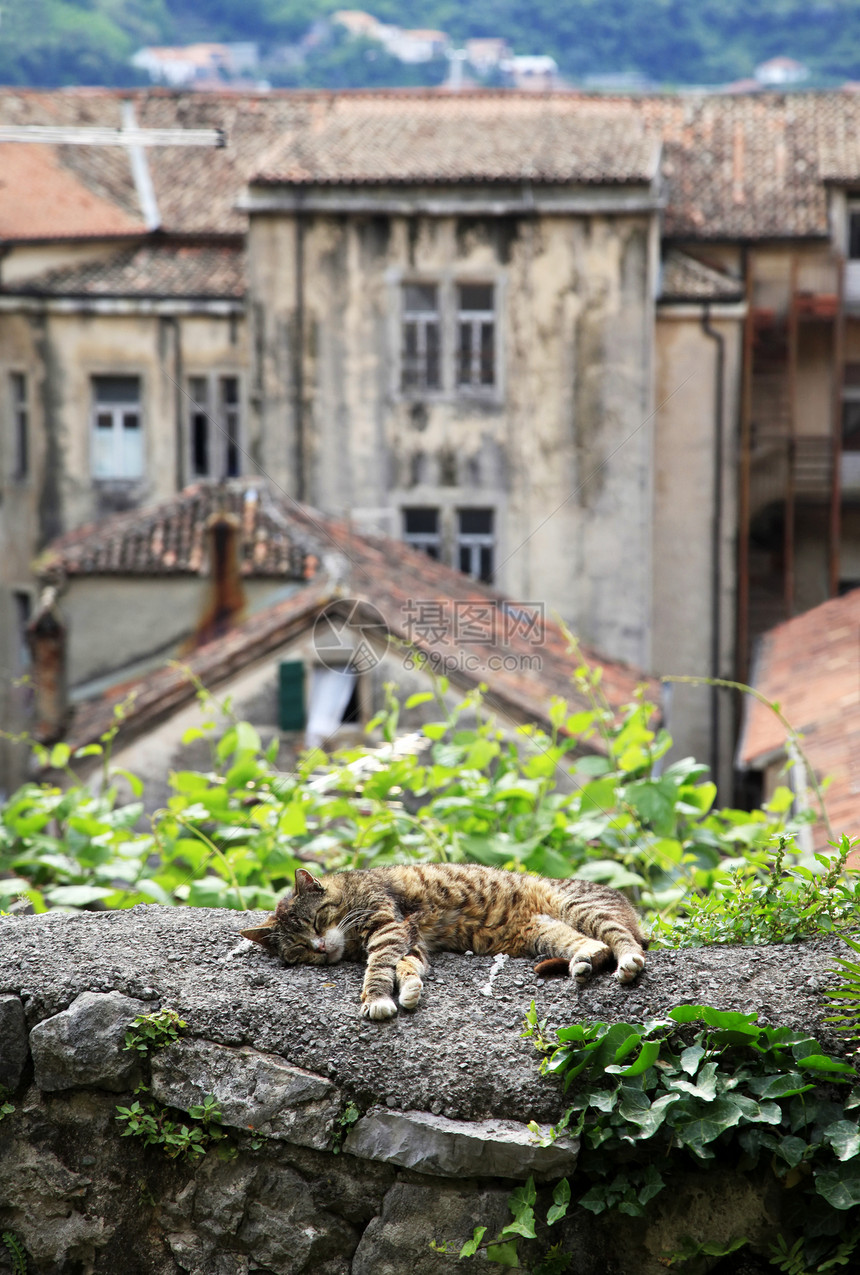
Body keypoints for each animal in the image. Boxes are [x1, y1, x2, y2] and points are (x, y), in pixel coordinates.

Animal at [240, 861, 647, 1020]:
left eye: (317, 921)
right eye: (299, 949)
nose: (320, 948)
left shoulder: (388, 927)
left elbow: (380, 965)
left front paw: (376, 999)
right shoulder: (412, 939)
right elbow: (407, 965)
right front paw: (408, 990)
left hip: (580, 907)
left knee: (623, 939)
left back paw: (627, 962)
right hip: (543, 932)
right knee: (594, 946)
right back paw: (584, 960)